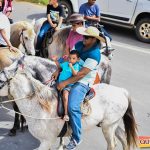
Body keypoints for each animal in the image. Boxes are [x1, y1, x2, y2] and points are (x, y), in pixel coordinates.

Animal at [0, 59, 138, 149]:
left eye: (0, 81)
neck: (39, 107)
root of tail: (122, 91)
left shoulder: (46, 141)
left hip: (108, 127)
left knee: (112, 144)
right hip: (110, 124)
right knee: (123, 138)